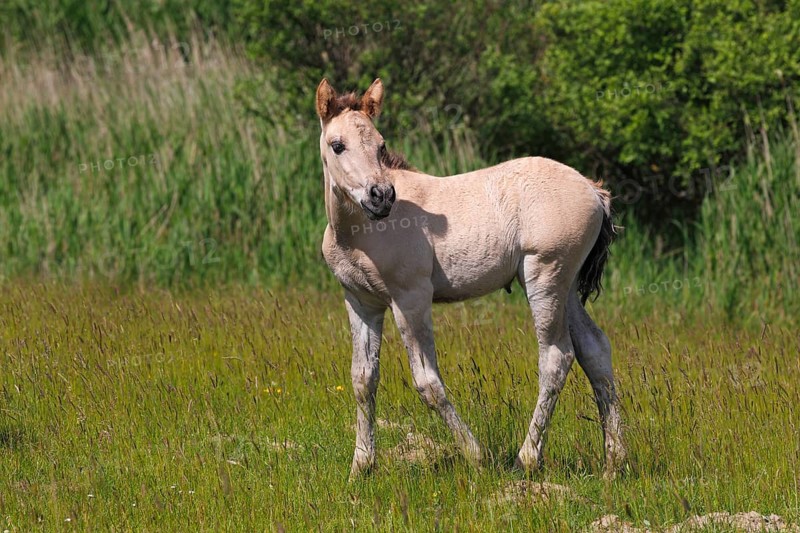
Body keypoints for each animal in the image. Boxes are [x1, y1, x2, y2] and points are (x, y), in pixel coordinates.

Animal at [315, 78, 626, 479]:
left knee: (556, 357)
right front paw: (361, 467)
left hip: (546, 278)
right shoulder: (361, 303)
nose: (381, 196)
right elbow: (362, 379)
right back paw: (613, 462)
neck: (359, 232)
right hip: (567, 286)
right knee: (594, 349)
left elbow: (427, 382)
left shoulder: (410, 299)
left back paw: (527, 458)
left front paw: (477, 456)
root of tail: (594, 190)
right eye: (338, 145)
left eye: (381, 145)